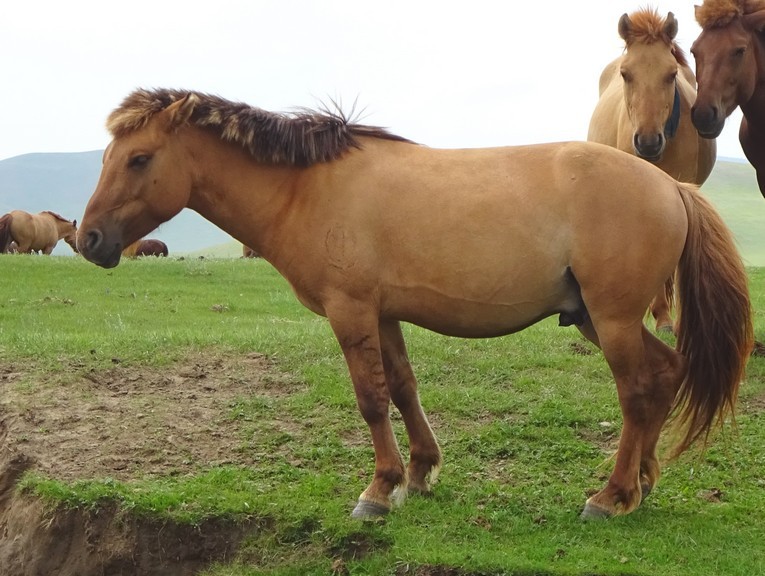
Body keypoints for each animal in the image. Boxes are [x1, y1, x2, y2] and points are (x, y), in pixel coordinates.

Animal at [79, 88, 752, 520]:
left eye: (140, 158)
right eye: (108, 157)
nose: (90, 240)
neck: (307, 188)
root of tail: (670, 185)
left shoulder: (351, 311)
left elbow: (371, 399)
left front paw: (380, 490)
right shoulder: (383, 315)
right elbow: (403, 388)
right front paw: (422, 471)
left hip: (610, 321)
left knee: (637, 390)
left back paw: (611, 496)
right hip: (594, 318)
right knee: (665, 374)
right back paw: (643, 481)